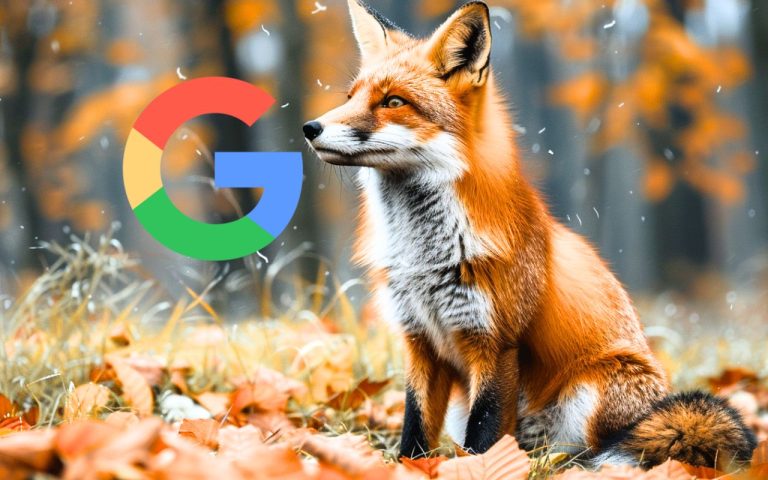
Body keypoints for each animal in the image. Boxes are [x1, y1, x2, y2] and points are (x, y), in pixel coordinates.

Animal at [303, 0, 757, 470]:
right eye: (351, 97)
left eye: (393, 102)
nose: (310, 127)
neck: (424, 255)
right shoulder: (419, 342)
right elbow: (415, 427)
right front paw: (409, 467)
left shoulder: (496, 343)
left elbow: (484, 434)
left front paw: (478, 470)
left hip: (594, 390)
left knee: (593, 454)